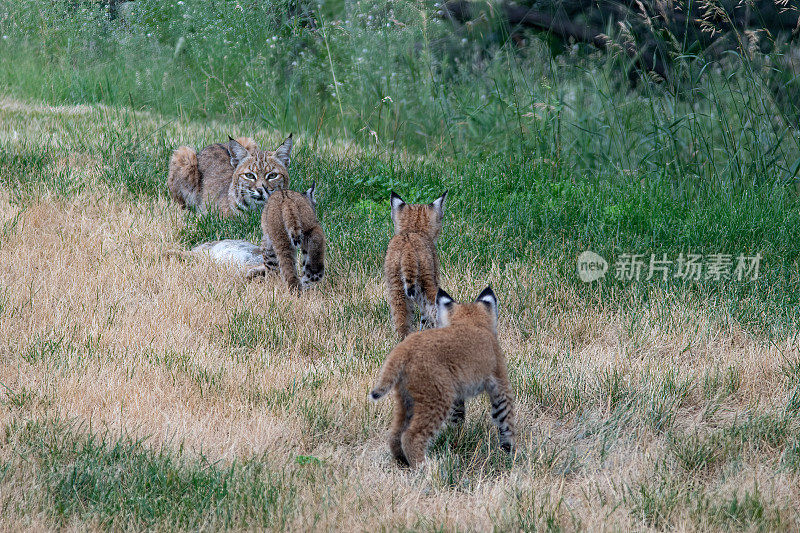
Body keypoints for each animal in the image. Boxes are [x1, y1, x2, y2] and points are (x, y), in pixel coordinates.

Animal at [370, 286, 516, 466]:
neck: (470, 321)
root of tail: (404, 348)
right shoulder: (500, 384)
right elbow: (505, 418)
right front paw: (511, 452)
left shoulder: (457, 395)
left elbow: (458, 417)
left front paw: (457, 437)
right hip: (438, 396)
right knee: (411, 435)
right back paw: (424, 467)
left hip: (407, 398)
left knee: (396, 433)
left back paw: (402, 461)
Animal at [382, 191, 446, 338]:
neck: (413, 229)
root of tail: (408, 247)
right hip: (427, 279)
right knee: (435, 304)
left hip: (396, 286)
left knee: (401, 317)